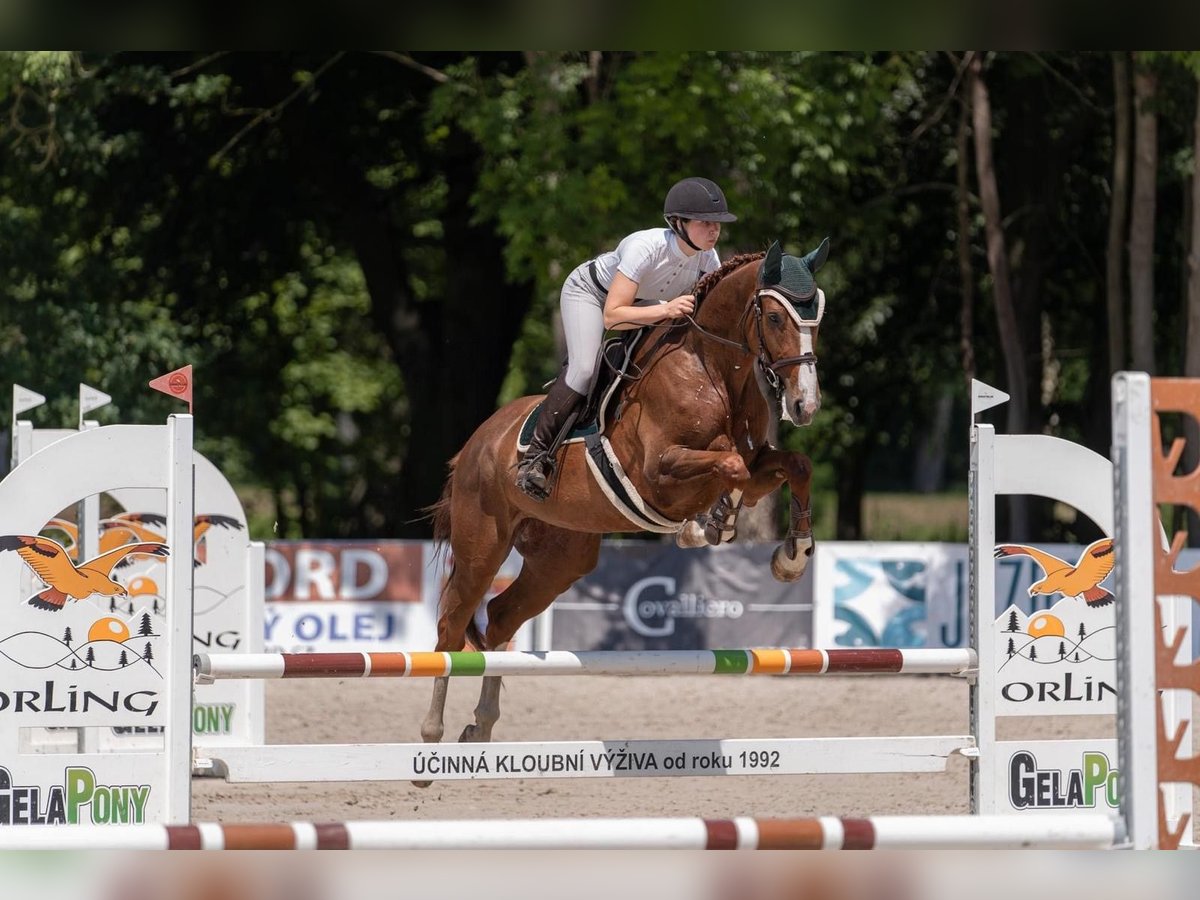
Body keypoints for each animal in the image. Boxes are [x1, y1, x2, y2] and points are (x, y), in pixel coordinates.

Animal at [420, 240, 825, 763]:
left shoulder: (759, 465)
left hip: (561, 557)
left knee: (501, 617)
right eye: (775, 318)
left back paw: (481, 726)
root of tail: (474, 445)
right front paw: (708, 525)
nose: (804, 406)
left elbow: (793, 465)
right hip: (482, 545)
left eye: (818, 316)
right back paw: (432, 736)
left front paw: (792, 556)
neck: (712, 370)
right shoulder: (659, 473)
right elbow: (730, 465)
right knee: (452, 625)